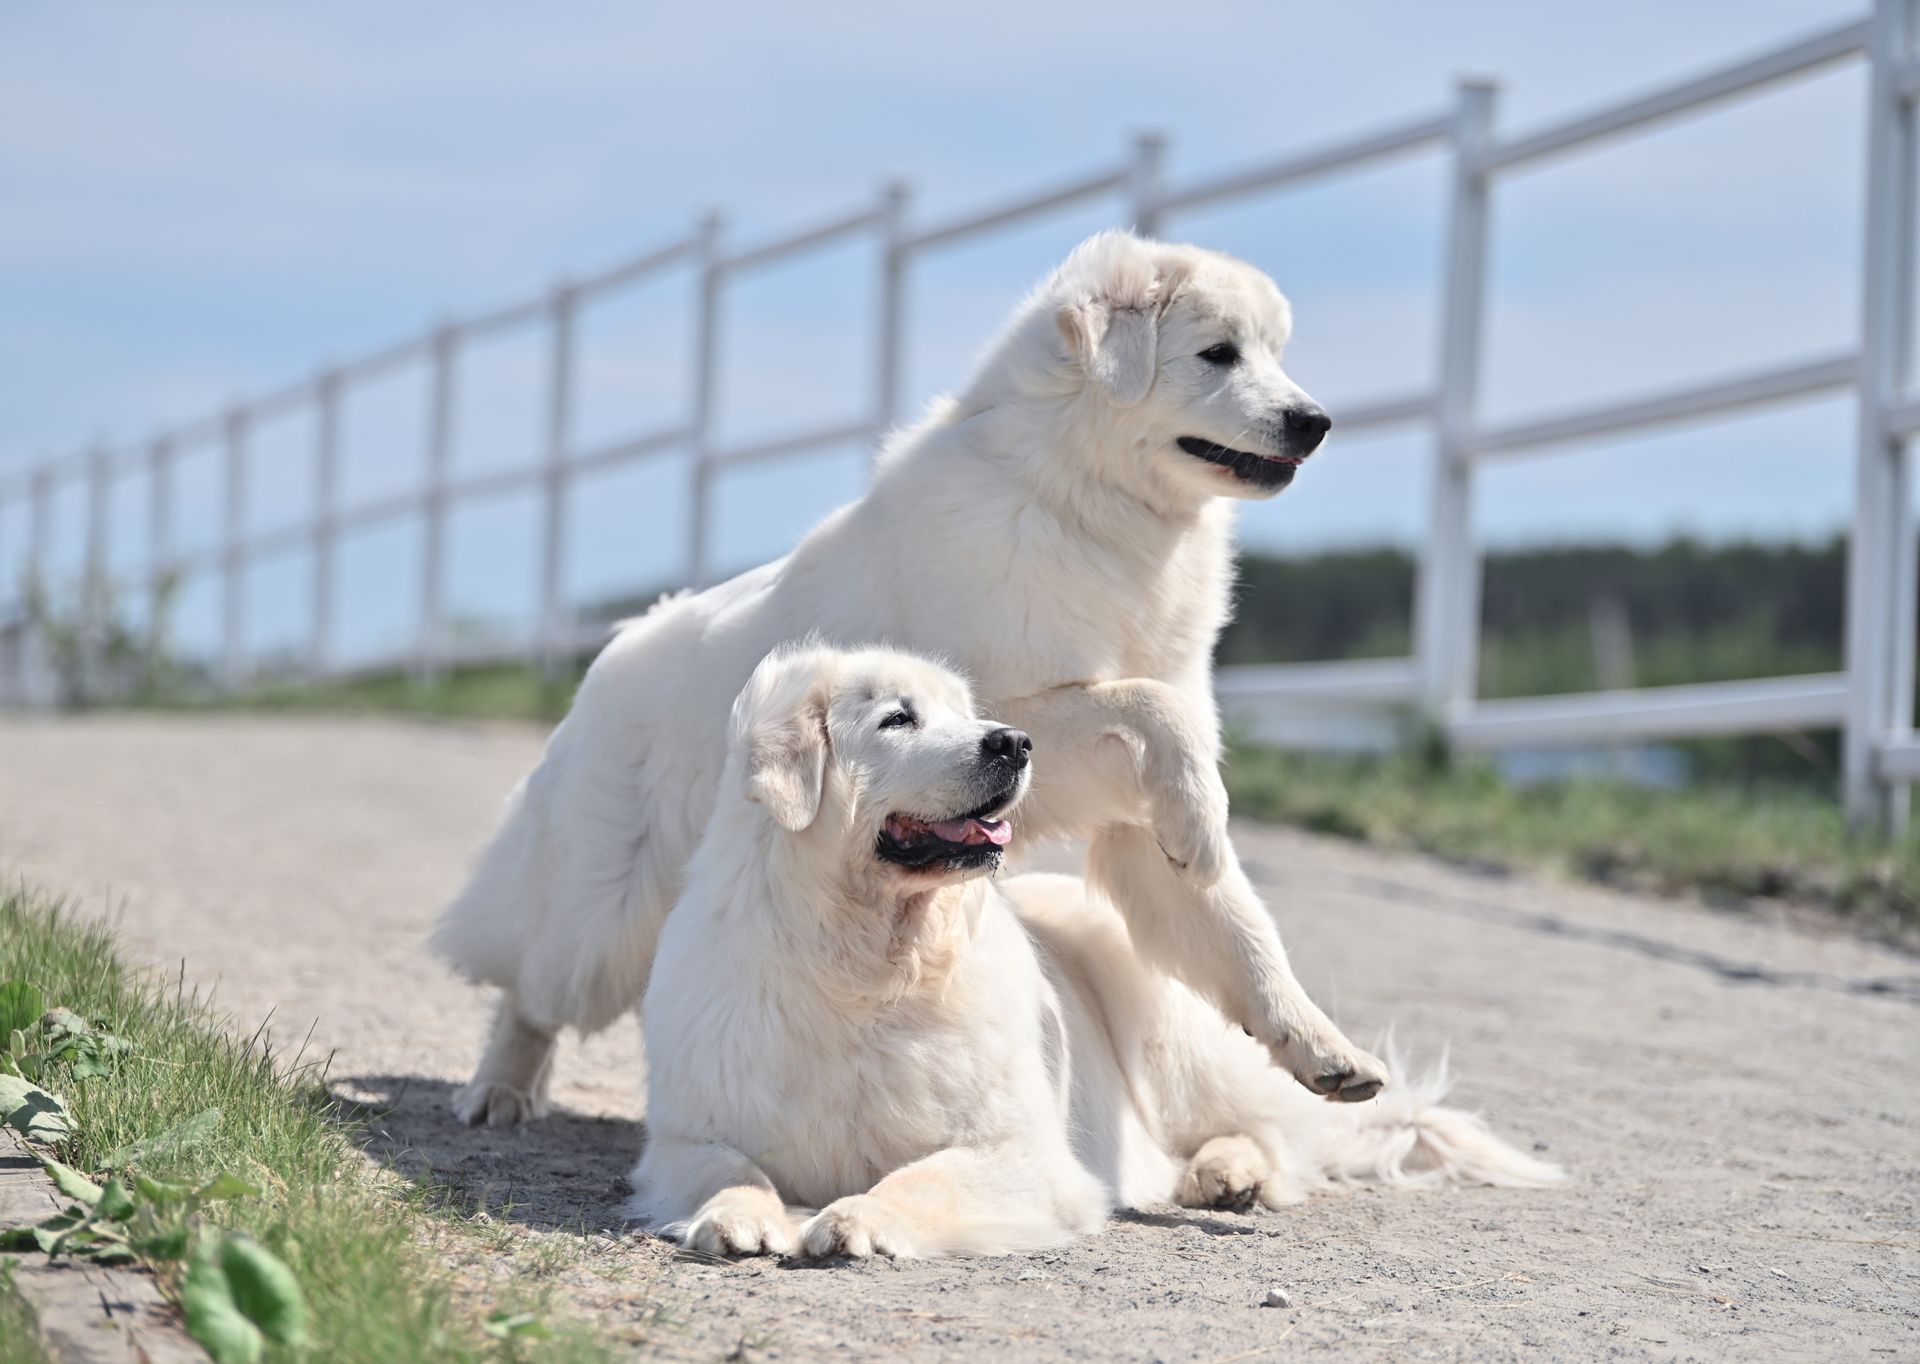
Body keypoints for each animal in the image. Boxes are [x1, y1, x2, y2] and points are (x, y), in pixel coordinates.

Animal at [435, 229, 1397, 1129]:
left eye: (1273, 352)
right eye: (1218, 354)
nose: (1314, 421)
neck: (1086, 510)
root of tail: (624, 642)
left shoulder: (1115, 804)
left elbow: (1236, 929)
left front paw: (1323, 1050)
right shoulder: (1021, 714)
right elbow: (1156, 710)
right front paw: (1202, 819)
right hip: (602, 914)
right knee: (532, 985)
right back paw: (501, 1091)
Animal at [629, 645, 1559, 1267]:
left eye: (966, 713)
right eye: (898, 718)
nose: (1013, 742)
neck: (868, 959)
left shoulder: (1023, 1155)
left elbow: (923, 1179)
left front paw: (859, 1219)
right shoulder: (687, 1133)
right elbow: (726, 1167)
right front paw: (739, 1215)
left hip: (1172, 1037)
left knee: (1265, 1128)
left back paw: (1233, 1170)